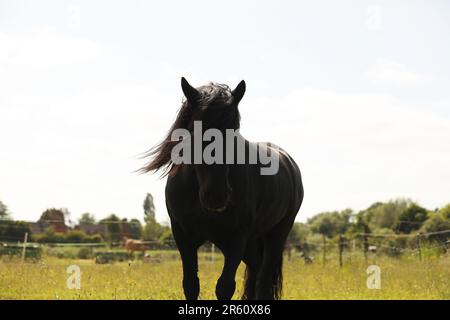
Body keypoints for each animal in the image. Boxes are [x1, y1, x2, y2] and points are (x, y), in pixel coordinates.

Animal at [142, 77, 304, 300]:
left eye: (234, 130)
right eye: (195, 130)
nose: (216, 196)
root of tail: (288, 161)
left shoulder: (236, 238)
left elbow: (225, 286)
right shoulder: (183, 237)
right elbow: (190, 285)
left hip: (277, 234)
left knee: (263, 279)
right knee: (256, 272)